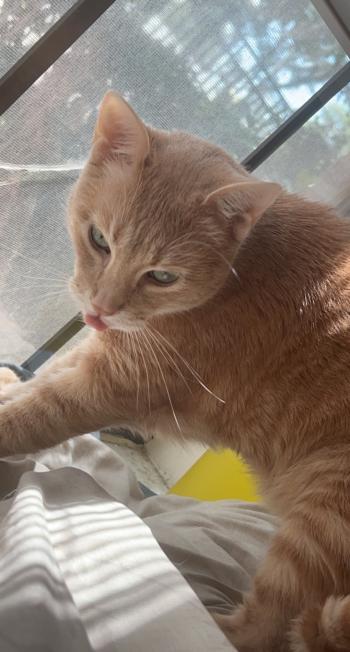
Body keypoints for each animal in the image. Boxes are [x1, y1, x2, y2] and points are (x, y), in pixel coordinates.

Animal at [0, 90, 350, 648]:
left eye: (162, 276)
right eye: (99, 239)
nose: (99, 309)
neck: (233, 278)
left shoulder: (109, 385)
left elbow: (33, 413)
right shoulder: (104, 352)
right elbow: (45, 379)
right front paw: (9, 382)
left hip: (324, 514)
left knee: (255, 631)